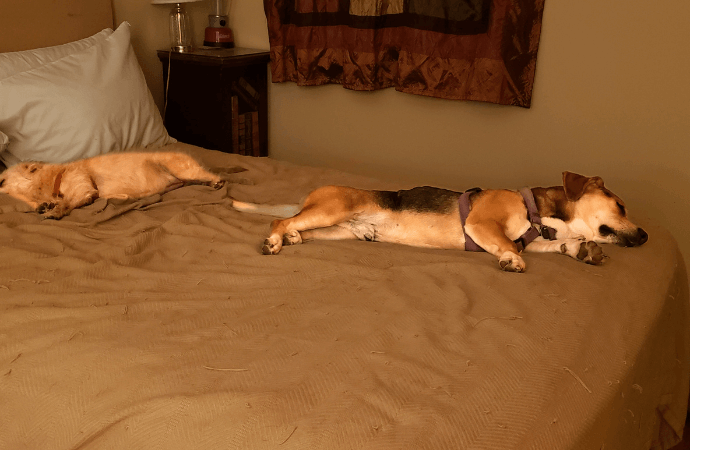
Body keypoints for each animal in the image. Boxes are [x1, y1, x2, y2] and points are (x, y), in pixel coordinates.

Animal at [0, 150, 224, 219]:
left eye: (1, 179)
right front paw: (45, 206)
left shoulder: (83, 189)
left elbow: (69, 201)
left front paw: (55, 211)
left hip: (181, 168)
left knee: (210, 174)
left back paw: (216, 181)